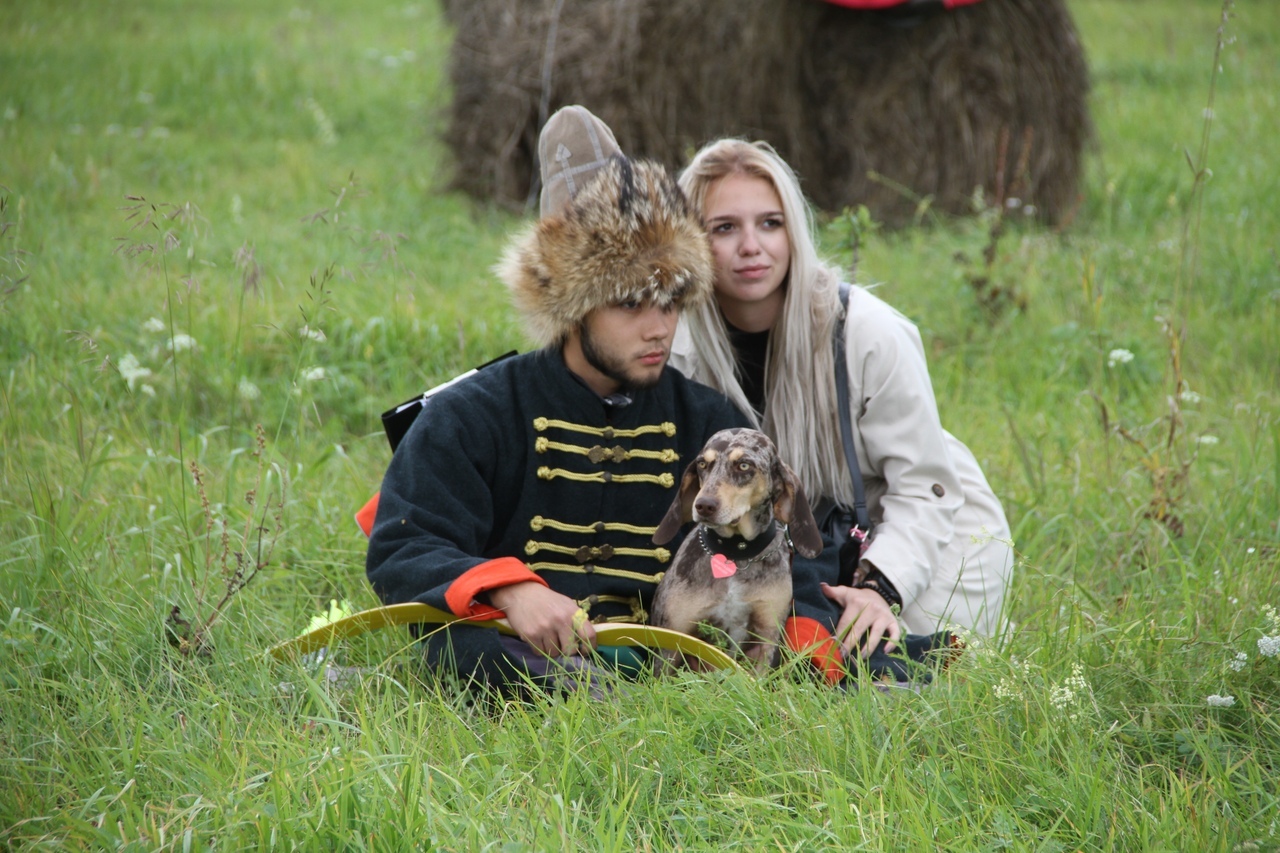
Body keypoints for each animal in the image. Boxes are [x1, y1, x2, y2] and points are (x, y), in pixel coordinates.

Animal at [650, 427, 819, 666]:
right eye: (702, 464)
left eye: (744, 465)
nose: (704, 505)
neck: (736, 555)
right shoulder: (672, 641)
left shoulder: (766, 639)